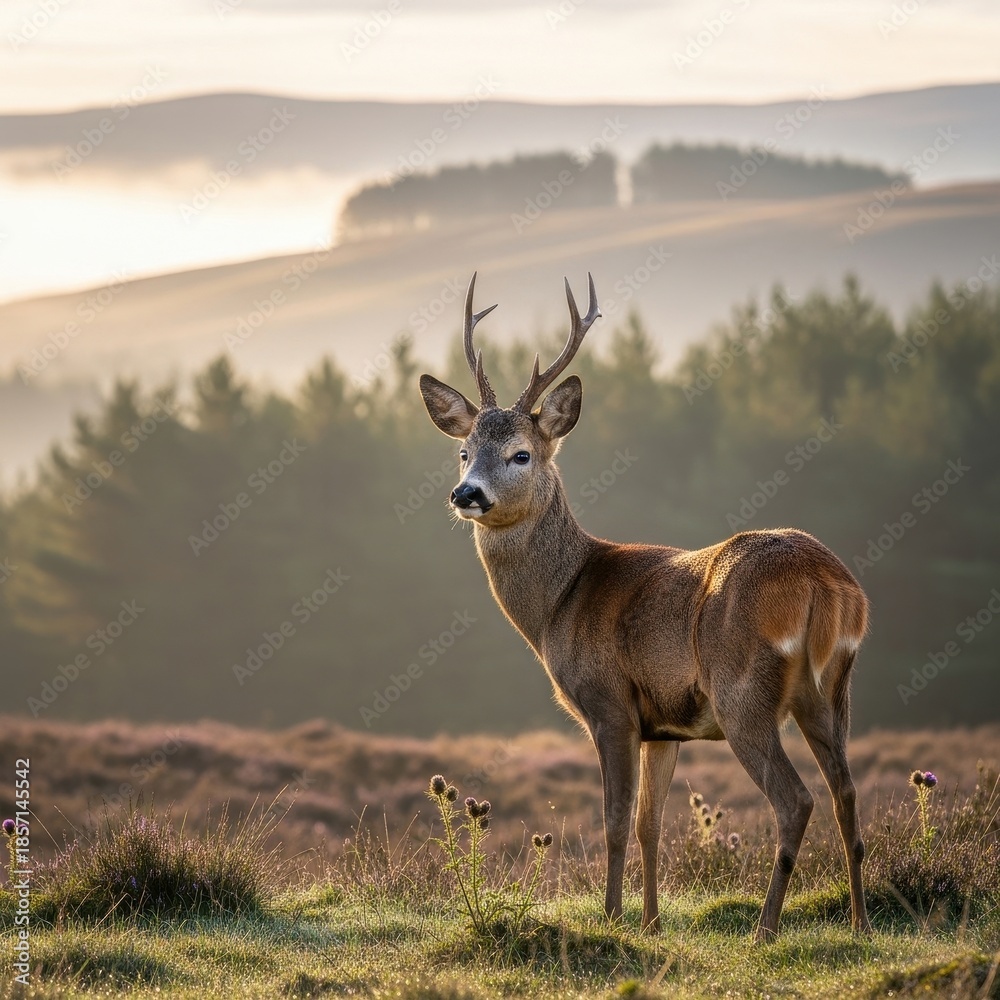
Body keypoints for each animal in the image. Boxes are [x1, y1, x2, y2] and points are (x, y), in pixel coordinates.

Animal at [418, 272, 871, 941]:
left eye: (521, 453)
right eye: (463, 451)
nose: (466, 493)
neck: (560, 602)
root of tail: (825, 582)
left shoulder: (609, 703)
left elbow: (613, 819)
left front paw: (611, 917)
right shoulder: (664, 724)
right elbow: (649, 823)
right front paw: (652, 922)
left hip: (743, 689)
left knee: (797, 799)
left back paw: (765, 927)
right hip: (832, 687)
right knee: (845, 792)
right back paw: (861, 922)